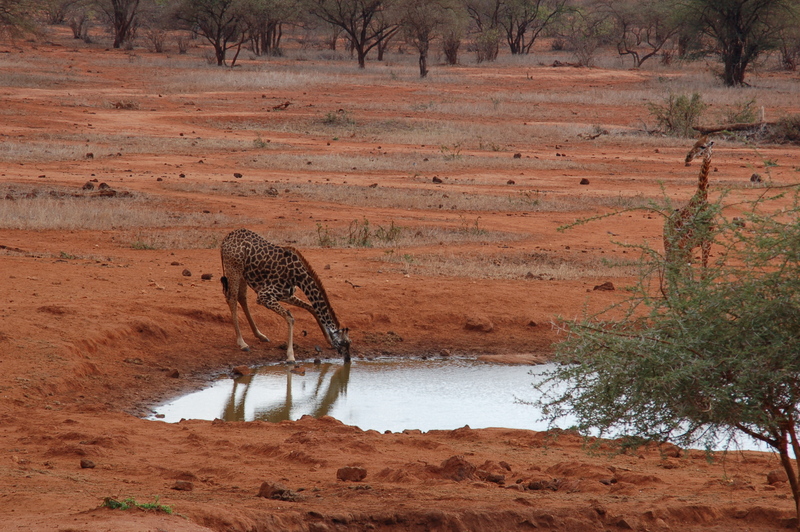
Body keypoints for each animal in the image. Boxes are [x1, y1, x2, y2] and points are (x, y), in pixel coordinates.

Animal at [222, 228, 354, 362]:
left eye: (349, 342)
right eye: (342, 343)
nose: (348, 359)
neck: (298, 276)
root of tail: (226, 239)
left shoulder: (285, 294)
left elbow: (311, 308)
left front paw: (328, 340)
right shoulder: (264, 295)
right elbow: (290, 318)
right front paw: (290, 356)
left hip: (243, 274)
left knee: (241, 297)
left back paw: (260, 335)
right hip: (234, 269)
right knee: (232, 299)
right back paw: (242, 343)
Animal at [664, 139, 716, 294]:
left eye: (703, 146)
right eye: (694, 143)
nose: (688, 157)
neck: (701, 202)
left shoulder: (706, 241)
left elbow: (703, 273)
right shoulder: (687, 242)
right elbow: (689, 276)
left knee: (676, 269)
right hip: (669, 245)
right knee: (670, 268)